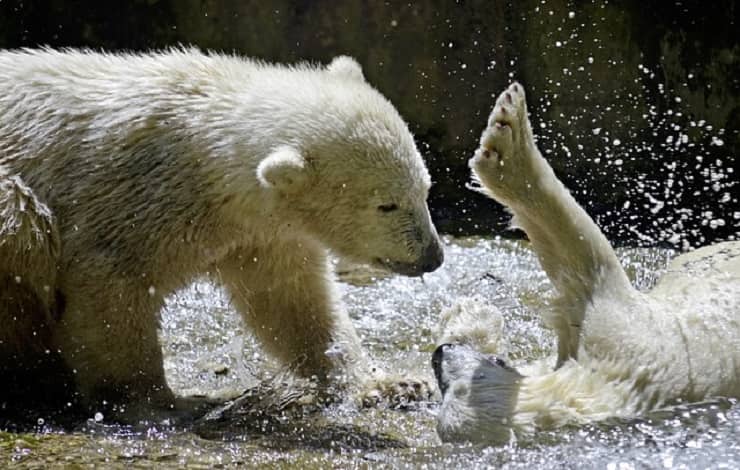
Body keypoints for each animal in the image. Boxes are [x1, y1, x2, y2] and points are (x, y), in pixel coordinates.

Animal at [0, 48, 444, 421]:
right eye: (386, 205)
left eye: (425, 188)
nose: (433, 257)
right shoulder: (130, 202)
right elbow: (109, 288)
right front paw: (161, 403)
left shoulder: (261, 233)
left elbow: (295, 302)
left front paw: (393, 385)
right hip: (15, 204)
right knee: (24, 226)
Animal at [432, 82, 740, 444]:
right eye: (445, 386)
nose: (440, 354)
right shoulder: (622, 347)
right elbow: (586, 268)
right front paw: (469, 315)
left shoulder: (623, 342)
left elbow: (586, 261)